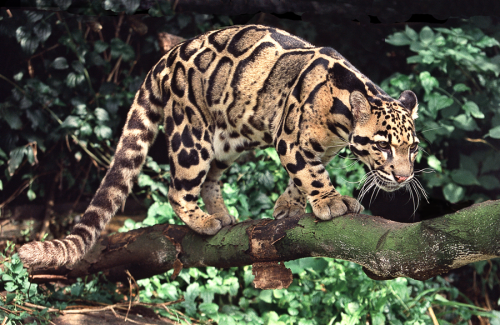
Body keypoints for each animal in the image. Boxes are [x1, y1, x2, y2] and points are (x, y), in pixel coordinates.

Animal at [18, 24, 418, 268]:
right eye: (383, 146)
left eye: (412, 148)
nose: (403, 177)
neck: (341, 119)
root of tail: (167, 57)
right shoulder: (290, 140)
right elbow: (311, 174)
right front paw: (331, 201)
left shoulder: (320, 148)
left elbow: (299, 178)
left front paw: (288, 205)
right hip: (191, 137)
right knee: (176, 189)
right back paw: (203, 220)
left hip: (227, 142)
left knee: (211, 178)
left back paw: (222, 214)